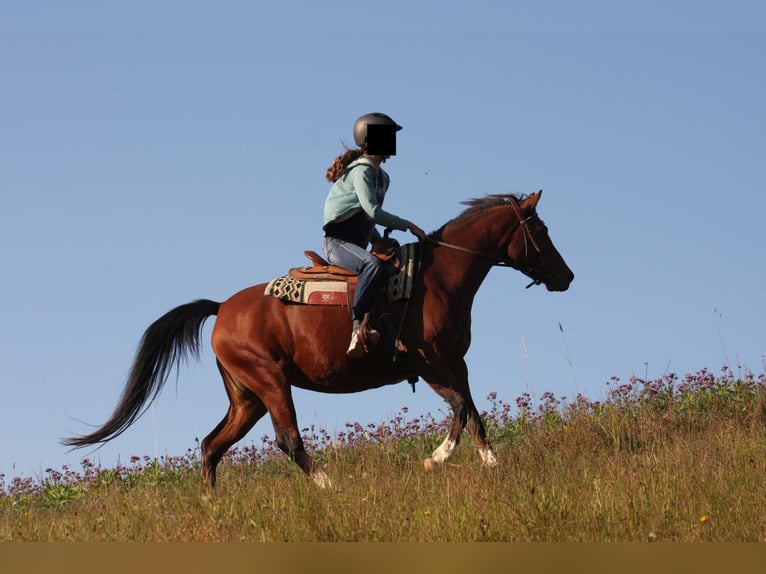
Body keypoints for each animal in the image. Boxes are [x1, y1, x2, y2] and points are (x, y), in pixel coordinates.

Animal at [63, 190, 573, 488]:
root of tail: (222, 308)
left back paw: (213, 505)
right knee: (288, 441)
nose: (566, 276)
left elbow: (474, 413)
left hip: (246, 397)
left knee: (211, 446)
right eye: (541, 229)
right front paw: (435, 460)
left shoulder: (456, 362)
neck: (439, 278)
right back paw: (327, 484)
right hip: (270, 383)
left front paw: (493, 465)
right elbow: (461, 409)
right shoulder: (427, 362)